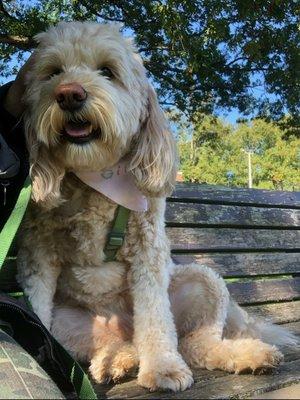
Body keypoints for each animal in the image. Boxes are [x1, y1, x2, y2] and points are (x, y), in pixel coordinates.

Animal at [17, 21, 296, 390]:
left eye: (107, 71)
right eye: (53, 72)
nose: (68, 94)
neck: (96, 176)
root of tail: (125, 327)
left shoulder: (146, 245)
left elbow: (154, 314)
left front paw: (163, 367)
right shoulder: (38, 249)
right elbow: (36, 307)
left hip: (203, 280)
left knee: (194, 342)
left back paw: (248, 355)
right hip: (69, 320)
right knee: (114, 343)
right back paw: (117, 361)